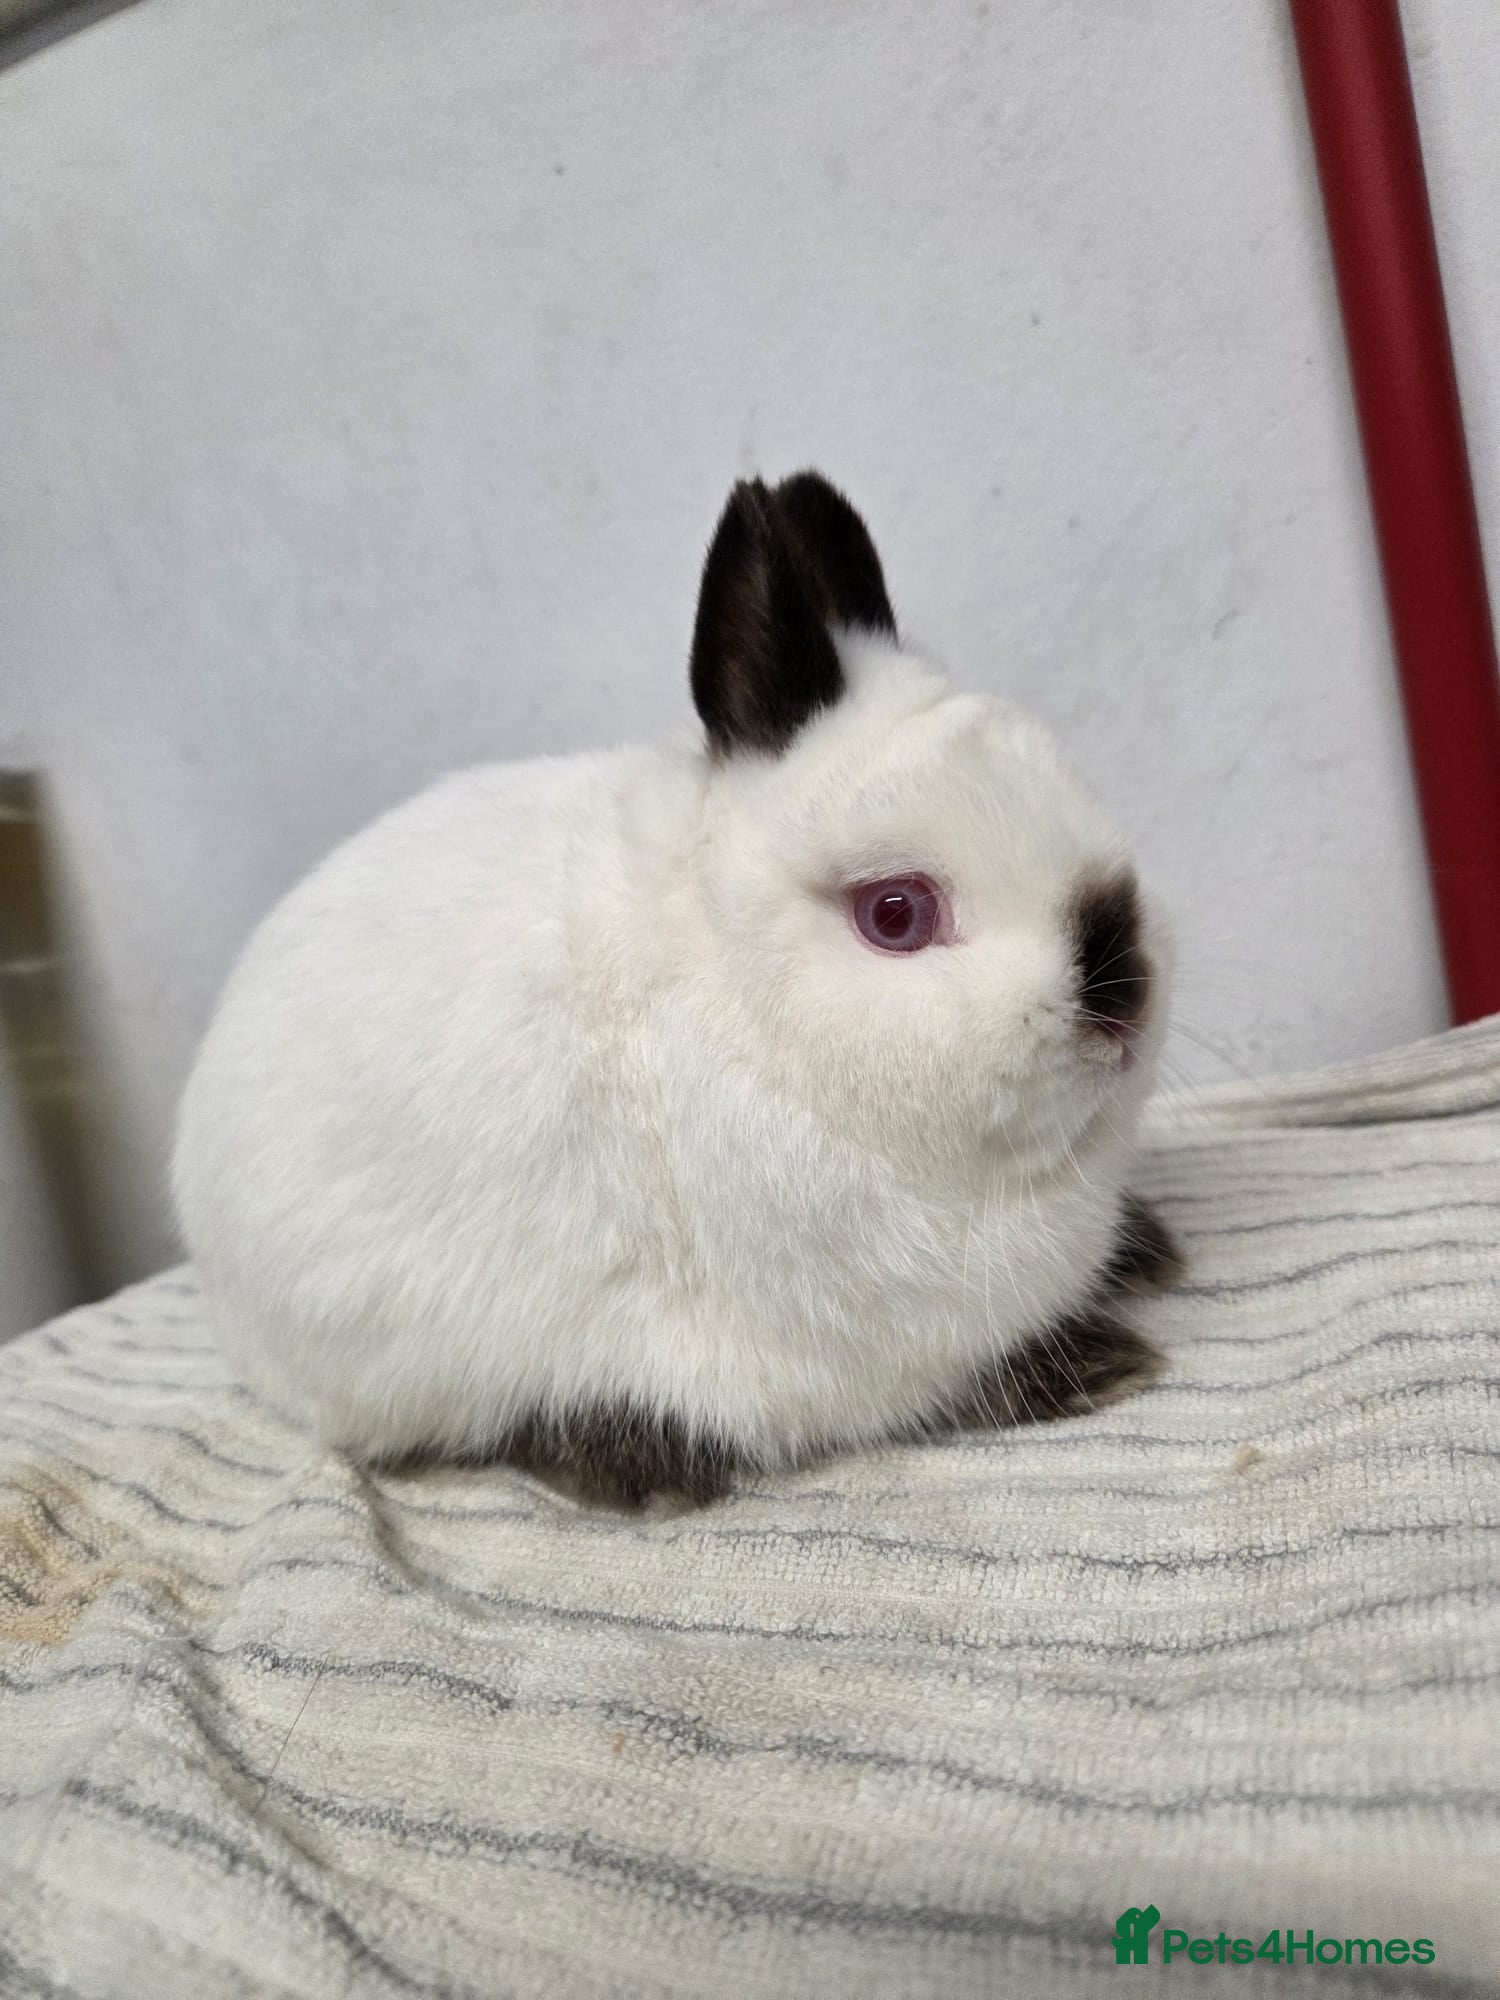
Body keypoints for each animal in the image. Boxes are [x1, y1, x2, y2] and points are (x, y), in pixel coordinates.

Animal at [173, 470, 1180, 1507]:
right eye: (895, 913)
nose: (1123, 992)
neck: (740, 1002)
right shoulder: (875, 1353)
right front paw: (1105, 1362)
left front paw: (1149, 1251)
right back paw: (643, 1468)